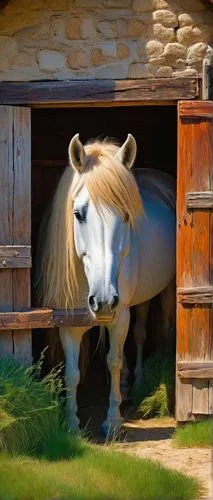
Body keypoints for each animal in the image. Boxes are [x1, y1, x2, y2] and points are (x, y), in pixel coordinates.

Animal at [36, 133, 176, 434]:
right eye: (78, 214)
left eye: (126, 214)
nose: (102, 300)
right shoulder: (67, 322)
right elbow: (73, 372)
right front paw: (72, 424)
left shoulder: (119, 315)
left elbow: (113, 360)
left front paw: (113, 420)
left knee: (140, 334)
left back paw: (136, 383)